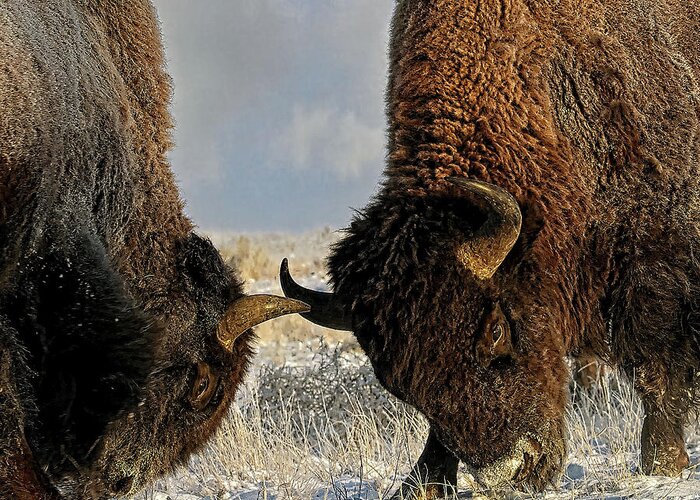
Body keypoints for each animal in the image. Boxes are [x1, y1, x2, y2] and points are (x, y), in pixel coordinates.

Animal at [280, 0, 700, 494]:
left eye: (496, 330)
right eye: (396, 382)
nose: (514, 471)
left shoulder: (652, 259)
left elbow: (655, 364)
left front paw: (662, 462)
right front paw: (421, 481)